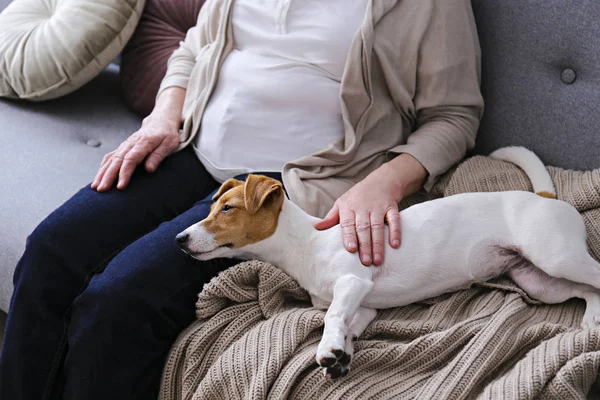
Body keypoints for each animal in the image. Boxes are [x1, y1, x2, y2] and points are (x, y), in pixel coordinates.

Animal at [176, 148, 600, 380]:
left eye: (227, 209)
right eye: (213, 208)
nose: (179, 240)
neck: (306, 242)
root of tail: (545, 197)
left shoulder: (353, 283)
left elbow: (332, 316)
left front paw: (327, 347)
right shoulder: (364, 306)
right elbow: (347, 324)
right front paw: (340, 355)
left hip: (555, 257)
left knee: (595, 276)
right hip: (539, 281)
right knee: (586, 290)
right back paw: (593, 317)